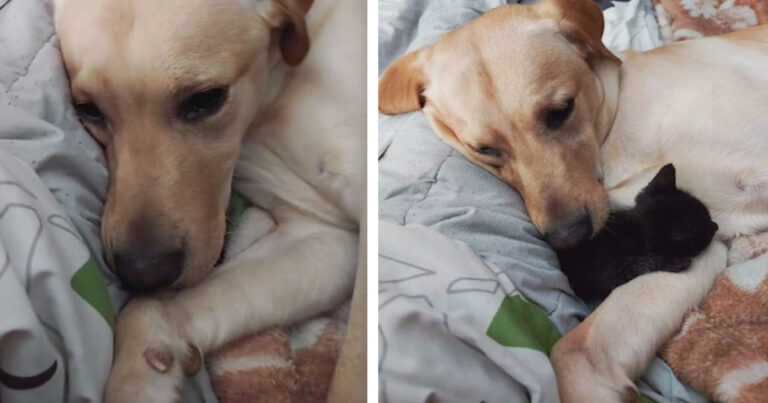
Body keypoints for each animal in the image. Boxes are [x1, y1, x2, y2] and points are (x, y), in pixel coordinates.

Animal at [55, 0, 364, 400]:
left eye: (205, 100)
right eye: (88, 109)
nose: (144, 272)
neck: (275, 93)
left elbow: (353, 375)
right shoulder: (324, 234)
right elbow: (146, 311)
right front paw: (141, 377)